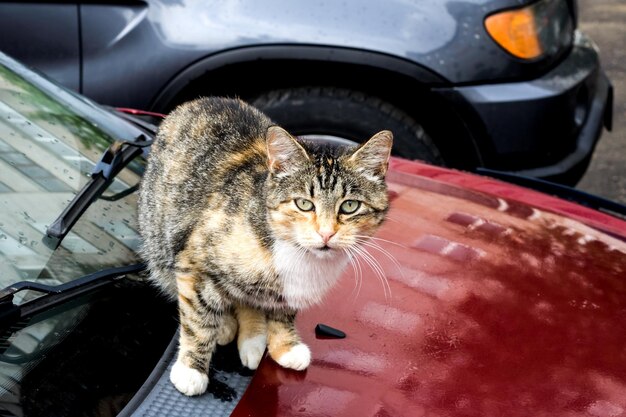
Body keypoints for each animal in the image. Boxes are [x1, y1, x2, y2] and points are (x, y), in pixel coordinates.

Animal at [137, 96, 390, 394]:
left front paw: (285, 346)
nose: (326, 233)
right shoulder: (194, 260)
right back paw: (224, 325)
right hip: (158, 237)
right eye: (303, 203)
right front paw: (192, 369)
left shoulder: (292, 290)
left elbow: (283, 313)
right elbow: (198, 320)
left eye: (350, 206)